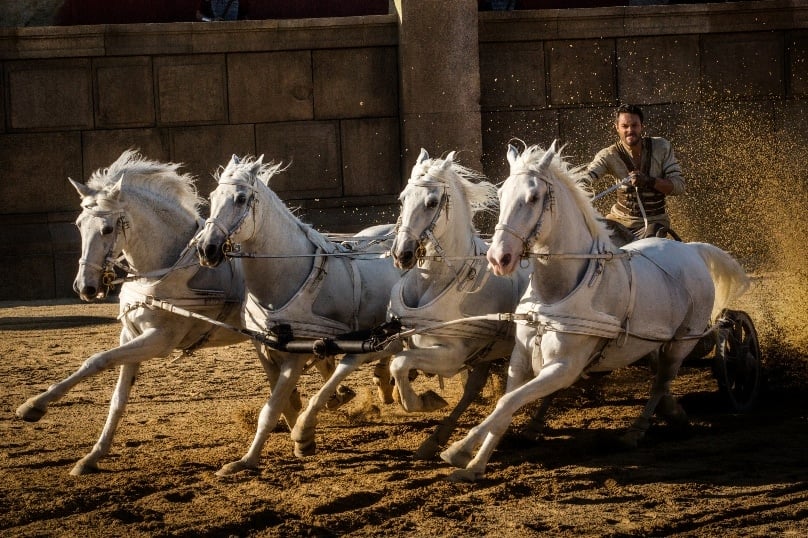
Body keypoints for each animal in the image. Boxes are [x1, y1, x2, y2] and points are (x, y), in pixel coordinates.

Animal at [16, 149, 312, 472]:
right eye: (79, 224)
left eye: (107, 228)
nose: (85, 287)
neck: (163, 269)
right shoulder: (130, 334)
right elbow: (118, 398)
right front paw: (93, 456)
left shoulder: (159, 340)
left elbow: (97, 360)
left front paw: (33, 406)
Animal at [196, 153, 404, 472]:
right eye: (212, 196)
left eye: (241, 198)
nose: (207, 249)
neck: (287, 272)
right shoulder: (263, 347)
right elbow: (281, 402)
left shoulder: (296, 351)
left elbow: (271, 409)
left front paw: (254, 458)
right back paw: (381, 384)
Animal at [386, 150, 532, 456]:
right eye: (403, 198)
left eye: (431, 202)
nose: (402, 254)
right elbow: (391, 359)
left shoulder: (452, 356)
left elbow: (400, 363)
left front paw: (423, 400)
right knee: (473, 388)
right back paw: (435, 440)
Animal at [442, 141, 752, 478]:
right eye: (501, 196)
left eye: (534, 197)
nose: (499, 258)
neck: (555, 293)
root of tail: (691, 249)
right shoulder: (521, 359)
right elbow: (506, 405)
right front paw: (474, 464)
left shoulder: (564, 367)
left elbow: (507, 402)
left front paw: (458, 449)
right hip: (654, 342)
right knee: (659, 377)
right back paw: (671, 415)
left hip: (681, 342)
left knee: (662, 382)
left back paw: (636, 431)